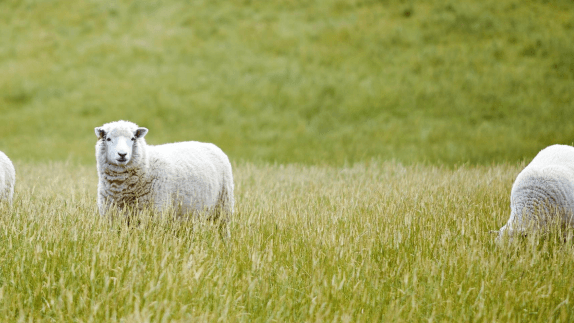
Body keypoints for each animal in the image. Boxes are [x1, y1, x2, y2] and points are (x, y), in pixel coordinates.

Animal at [94, 120, 234, 227]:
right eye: (108, 139)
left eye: (133, 138)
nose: (122, 154)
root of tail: (211, 145)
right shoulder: (112, 216)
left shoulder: (156, 214)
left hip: (224, 206)